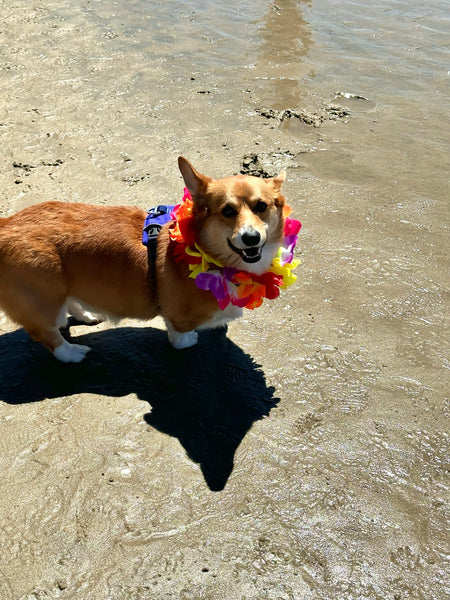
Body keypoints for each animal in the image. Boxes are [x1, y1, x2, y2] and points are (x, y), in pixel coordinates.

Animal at [0, 157, 286, 360]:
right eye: (227, 211)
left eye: (261, 206)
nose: (251, 238)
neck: (207, 253)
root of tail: (6, 224)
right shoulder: (178, 316)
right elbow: (178, 334)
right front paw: (188, 341)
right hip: (43, 300)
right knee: (47, 334)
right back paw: (72, 353)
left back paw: (87, 315)